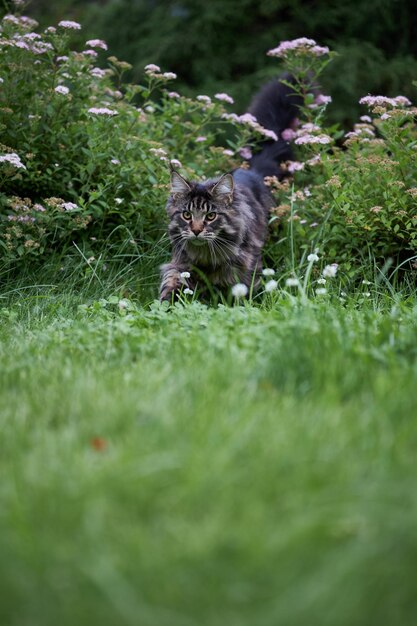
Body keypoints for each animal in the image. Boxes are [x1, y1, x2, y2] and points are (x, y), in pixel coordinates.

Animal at [158, 75, 300, 300]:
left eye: (211, 216)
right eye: (187, 215)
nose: (196, 230)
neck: (206, 257)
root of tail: (253, 169)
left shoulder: (247, 270)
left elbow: (242, 296)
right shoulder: (179, 264)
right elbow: (171, 285)